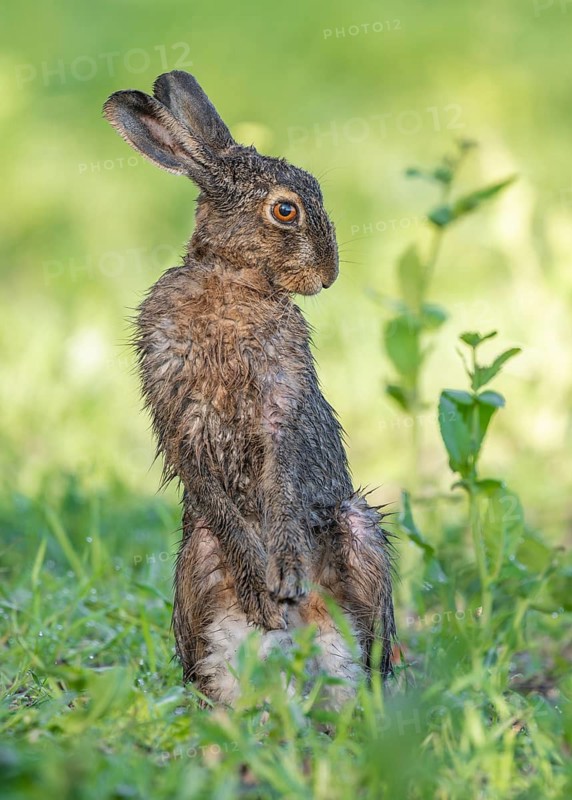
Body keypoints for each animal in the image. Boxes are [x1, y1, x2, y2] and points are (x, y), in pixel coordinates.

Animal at [103, 70, 396, 705]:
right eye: (286, 210)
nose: (328, 277)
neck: (231, 277)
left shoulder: (278, 403)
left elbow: (281, 479)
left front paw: (284, 573)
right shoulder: (177, 410)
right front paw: (264, 585)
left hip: (358, 529)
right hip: (194, 558)